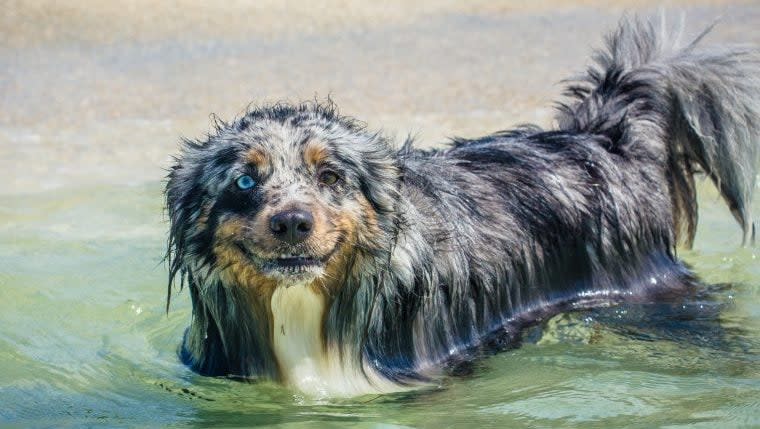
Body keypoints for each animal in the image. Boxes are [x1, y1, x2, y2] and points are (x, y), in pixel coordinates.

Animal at [166, 18, 760, 396]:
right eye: (245, 179)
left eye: (330, 176)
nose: (292, 221)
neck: (305, 308)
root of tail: (601, 135)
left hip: (658, 305)